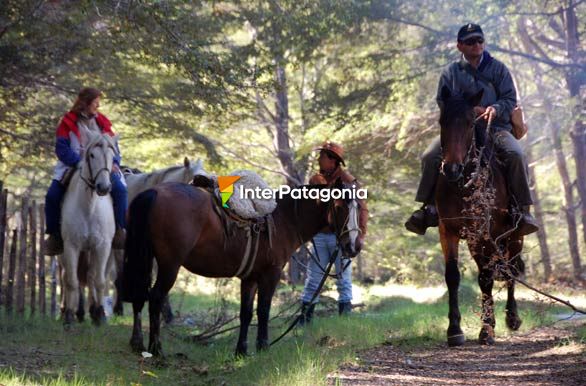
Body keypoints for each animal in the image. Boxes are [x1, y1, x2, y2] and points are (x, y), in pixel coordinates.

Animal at [60, 126, 117, 326]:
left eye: (112, 155)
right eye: (91, 155)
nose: (104, 187)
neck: (89, 208)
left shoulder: (102, 247)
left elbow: (99, 280)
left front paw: (100, 315)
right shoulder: (71, 246)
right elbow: (71, 281)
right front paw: (69, 317)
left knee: (91, 277)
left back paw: (92, 311)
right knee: (68, 277)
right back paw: (68, 311)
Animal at [121, 179, 358, 358]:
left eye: (358, 207)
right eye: (339, 207)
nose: (353, 246)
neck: (284, 219)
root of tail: (154, 191)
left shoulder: (250, 277)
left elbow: (246, 312)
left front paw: (241, 351)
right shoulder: (271, 274)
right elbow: (263, 310)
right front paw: (263, 346)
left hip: (144, 257)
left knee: (139, 296)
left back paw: (137, 343)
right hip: (169, 265)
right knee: (155, 297)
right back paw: (156, 349)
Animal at [436, 86, 524, 346]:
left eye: (468, 123)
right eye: (442, 121)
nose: (451, 169)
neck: (463, 186)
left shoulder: (484, 233)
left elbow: (485, 277)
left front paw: (486, 330)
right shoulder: (448, 231)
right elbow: (452, 276)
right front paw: (455, 330)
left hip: (514, 237)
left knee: (510, 270)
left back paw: (512, 318)